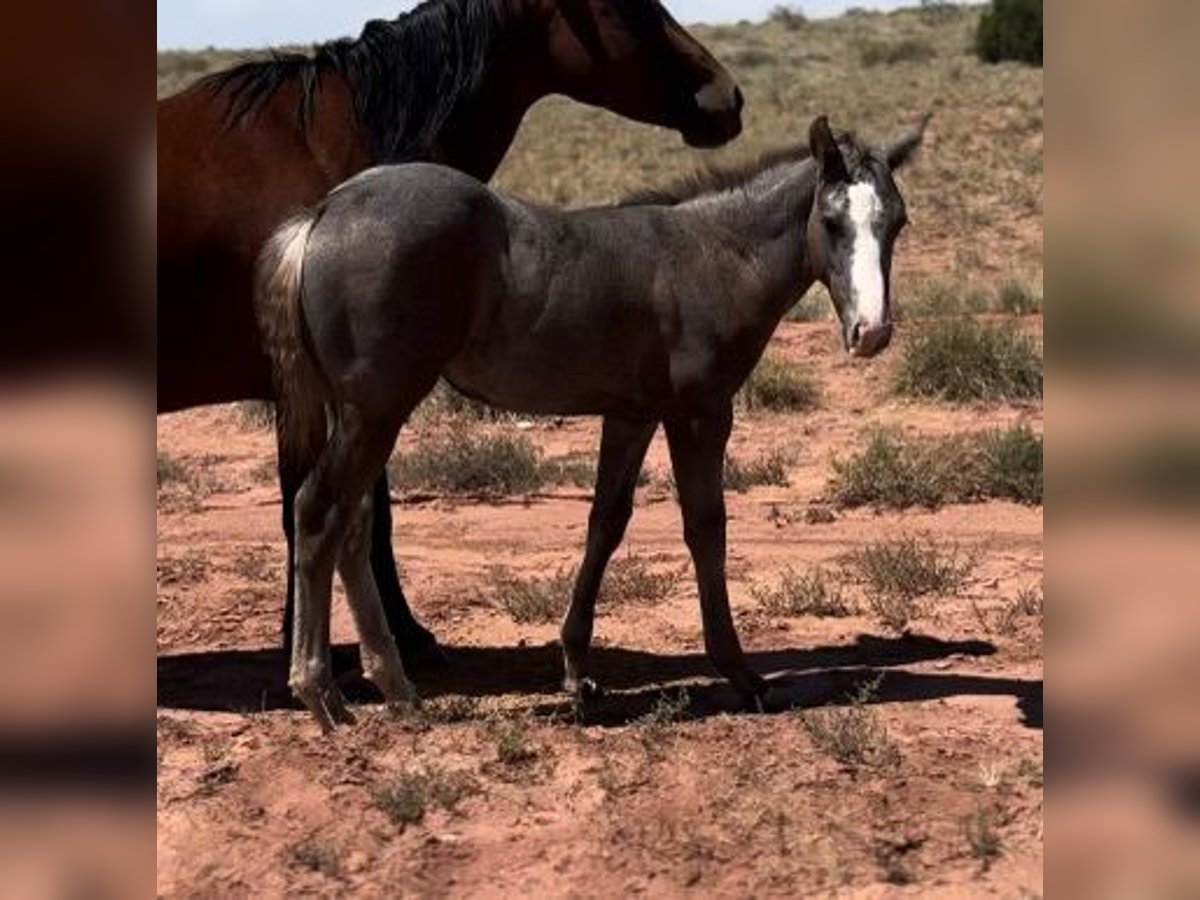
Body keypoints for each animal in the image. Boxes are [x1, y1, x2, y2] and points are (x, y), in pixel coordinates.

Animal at [156, 0, 744, 662]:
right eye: (627, 6)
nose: (727, 96)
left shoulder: (350, 396)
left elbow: (356, 513)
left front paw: (383, 636)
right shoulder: (326, 396)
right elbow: (323, 509)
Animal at [253, 114, 926, 734]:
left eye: (896, 222)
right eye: (833, 222)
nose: (872, 333)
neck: (717, 256)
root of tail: (326, 211)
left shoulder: (631, 415)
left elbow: (606, 521)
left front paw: (578, 670)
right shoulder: (700, 412)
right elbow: (705, 527)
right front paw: (740, 673)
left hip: (363, 413)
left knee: (352, 523)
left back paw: (395, 687)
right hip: (377, 410)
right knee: (318, 510)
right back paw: (321, 692)